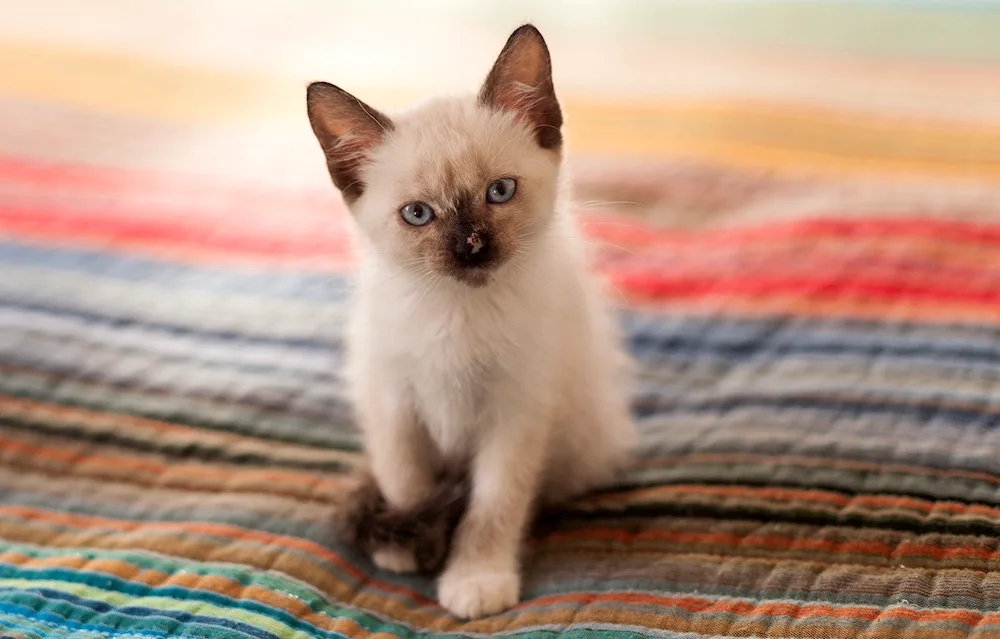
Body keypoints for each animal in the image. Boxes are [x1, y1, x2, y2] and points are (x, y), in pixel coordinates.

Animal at [306, 25, 632, 620]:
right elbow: (406, 483)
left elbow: (493, 507)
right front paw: (407, 545)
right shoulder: (393, 401)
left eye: (499, 191)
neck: (456, 311)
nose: (471, 248)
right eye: (418, 215)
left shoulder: (516, 412)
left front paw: (476, 579)